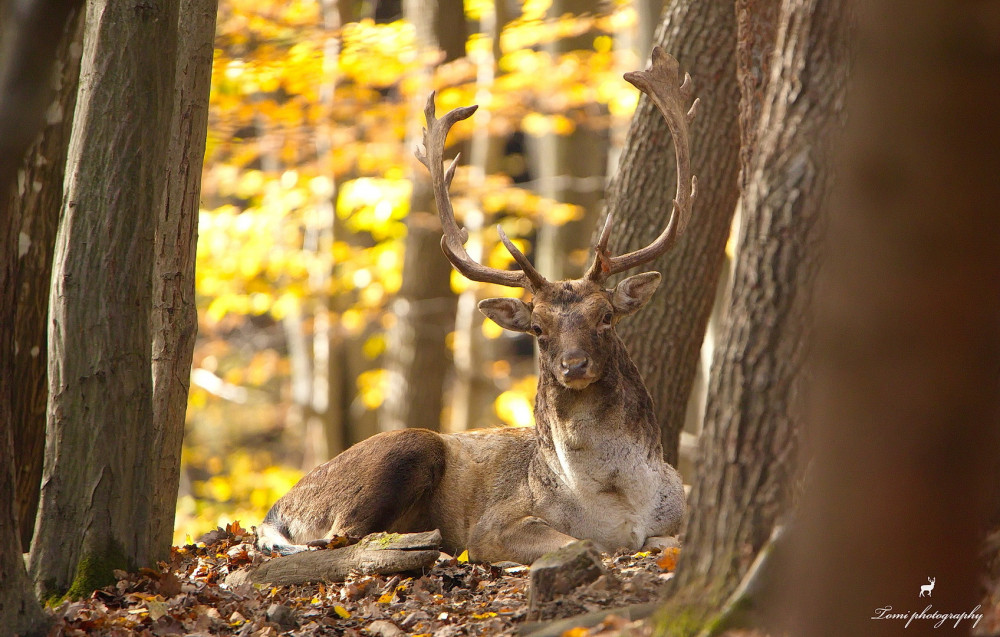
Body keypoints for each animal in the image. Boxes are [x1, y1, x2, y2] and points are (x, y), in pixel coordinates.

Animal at [258, 47, 696, 564]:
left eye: (605, 317)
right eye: (538, 328)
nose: (574, 365)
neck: (619, 500)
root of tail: (276, 510)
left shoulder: (677, 518)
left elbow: (664, 540)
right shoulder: (495, 525)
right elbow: (583, 542)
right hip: (405, 447)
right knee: (343, 537)